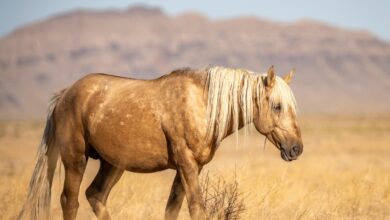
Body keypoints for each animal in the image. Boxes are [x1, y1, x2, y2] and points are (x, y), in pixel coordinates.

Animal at [18, 65, 304, 220]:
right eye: (277, 106)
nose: (296, 149)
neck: (202, 105)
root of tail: (65, 94)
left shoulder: (188, 168)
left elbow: (172, 209)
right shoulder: (187, 166)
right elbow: (196, 208)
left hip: (113, 165)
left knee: (95, 195)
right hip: (75, 159)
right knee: (70, 201)